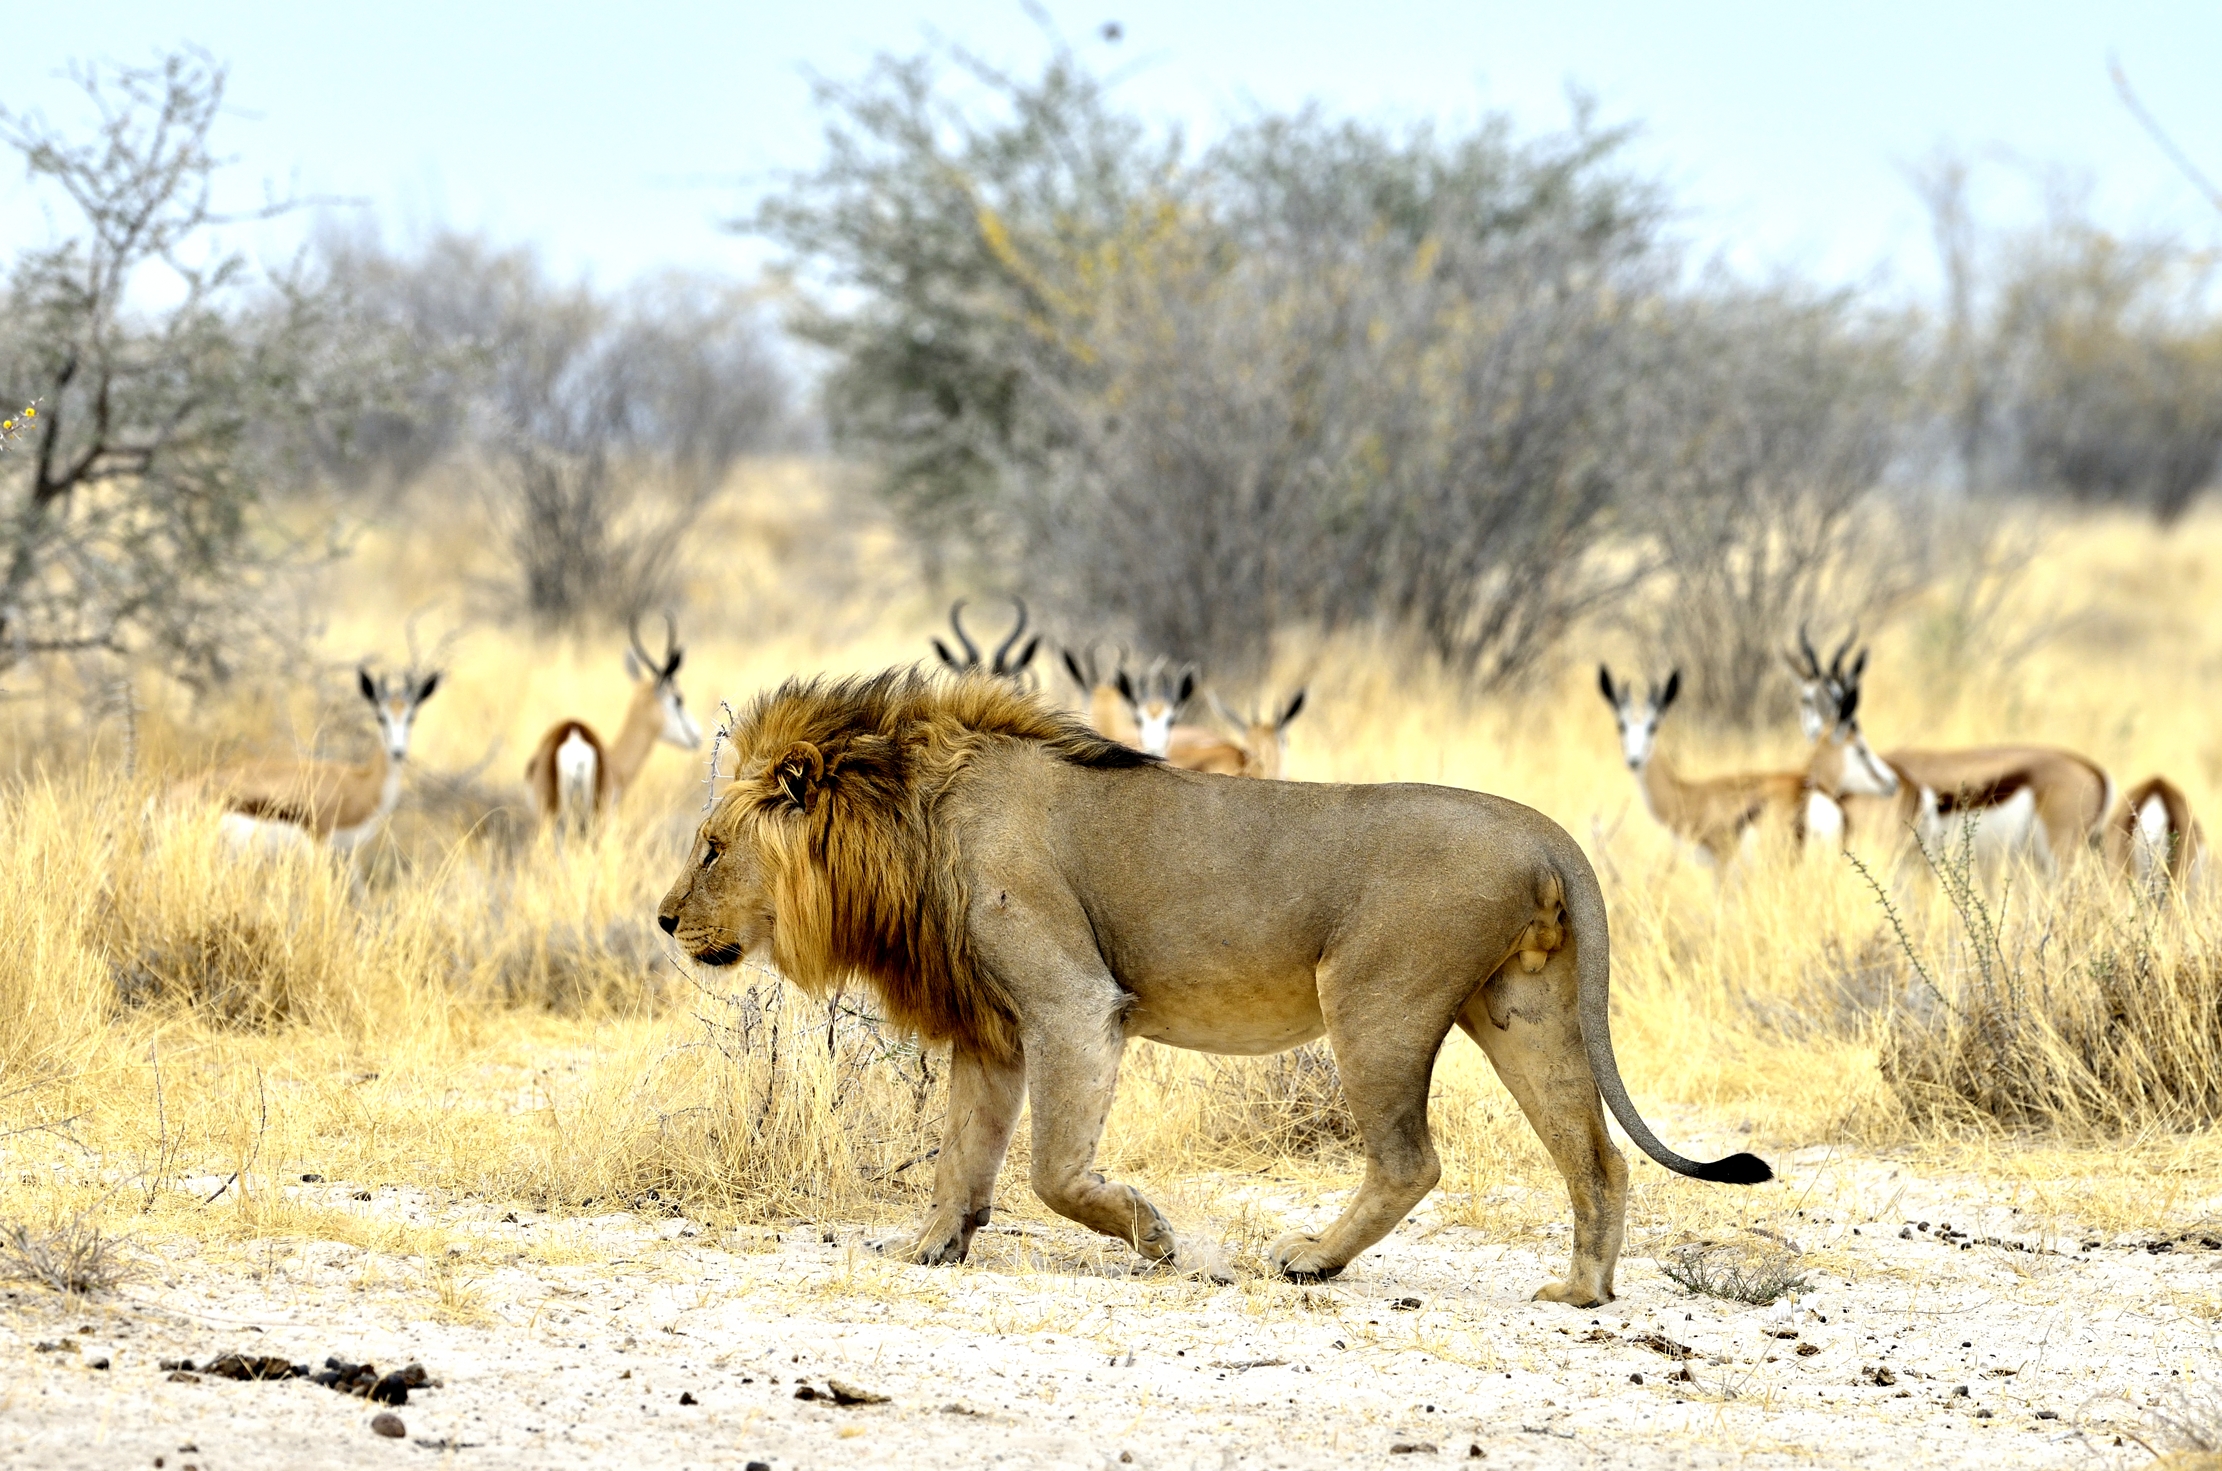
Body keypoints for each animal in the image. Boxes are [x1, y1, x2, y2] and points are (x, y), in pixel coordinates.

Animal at [658, 669, 1769, 1306]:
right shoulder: (994, 1029)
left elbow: (1050, 1170)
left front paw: (1149, 1234)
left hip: (1374, 1000)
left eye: (710, 848)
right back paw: (1581, 1290)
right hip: (1518, 1009)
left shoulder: (1072, 1002)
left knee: (1411, 1159)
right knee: (1595, 1155)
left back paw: (1312, 1260)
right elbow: (962, 1155)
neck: (907, 816)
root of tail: (1542, 828)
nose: (665, 920)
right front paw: (928, 1247)